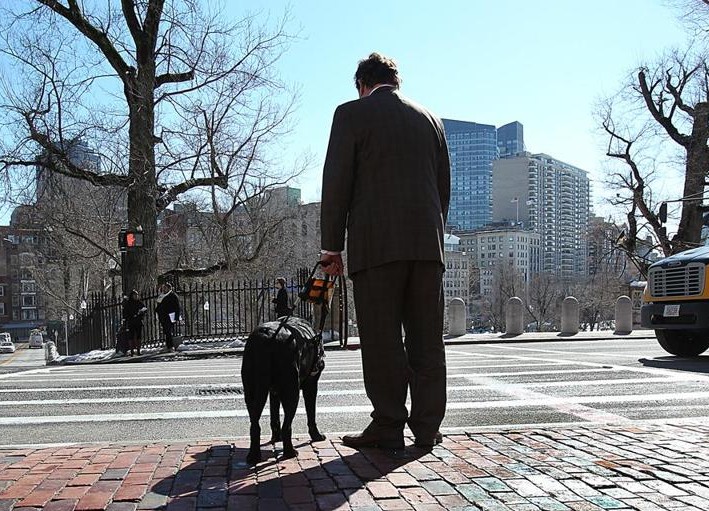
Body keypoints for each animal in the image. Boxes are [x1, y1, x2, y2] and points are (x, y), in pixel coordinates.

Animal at [239, 314, 324, 466]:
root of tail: (268, 338)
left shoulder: (274, 392)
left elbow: (274, 416)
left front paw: (275, 437)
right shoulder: (311, 385)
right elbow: (311, 413)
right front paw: (316, 435)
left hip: (251, 390)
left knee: (255, 425)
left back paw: (254, 456)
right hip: (292, 390)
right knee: (287, 425)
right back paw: (289, 451)